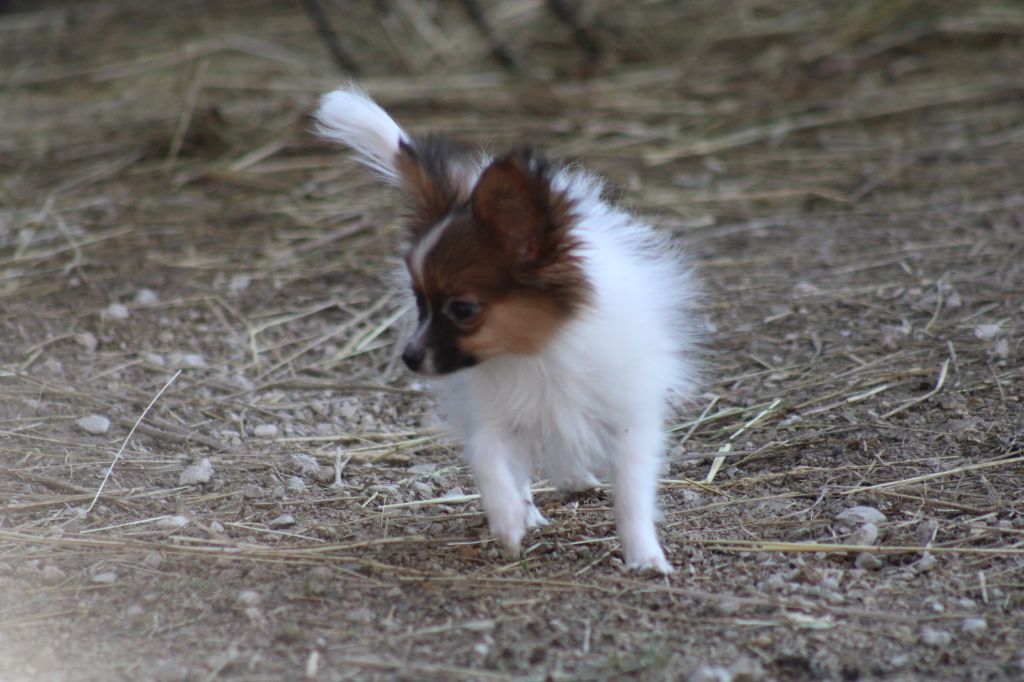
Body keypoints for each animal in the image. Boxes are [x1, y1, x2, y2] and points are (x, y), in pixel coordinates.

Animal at [313, 86, 696, 573]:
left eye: (462, 310)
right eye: (419, 302)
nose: (410, 358)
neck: (538, 352)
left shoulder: (629, 419)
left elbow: (631, 493)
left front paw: (644, 556)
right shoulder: (495, 415)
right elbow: (490, 459)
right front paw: (510, 519)